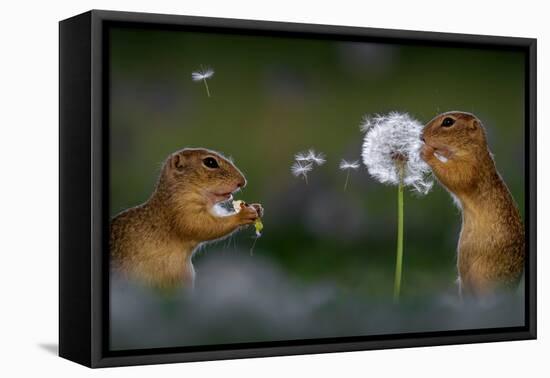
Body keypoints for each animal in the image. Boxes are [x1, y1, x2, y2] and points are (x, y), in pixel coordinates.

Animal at [110, 146, 266, 288]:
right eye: (210, 162)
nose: (243, 182)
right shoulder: (181, 214)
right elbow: (204, 227)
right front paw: (242, 215)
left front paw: (257, 208)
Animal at [422, 110, 528, 296]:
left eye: (448, 122)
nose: (421, 136)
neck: (472, 149)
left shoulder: (470, 168)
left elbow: (454, 175)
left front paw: (426, 151)